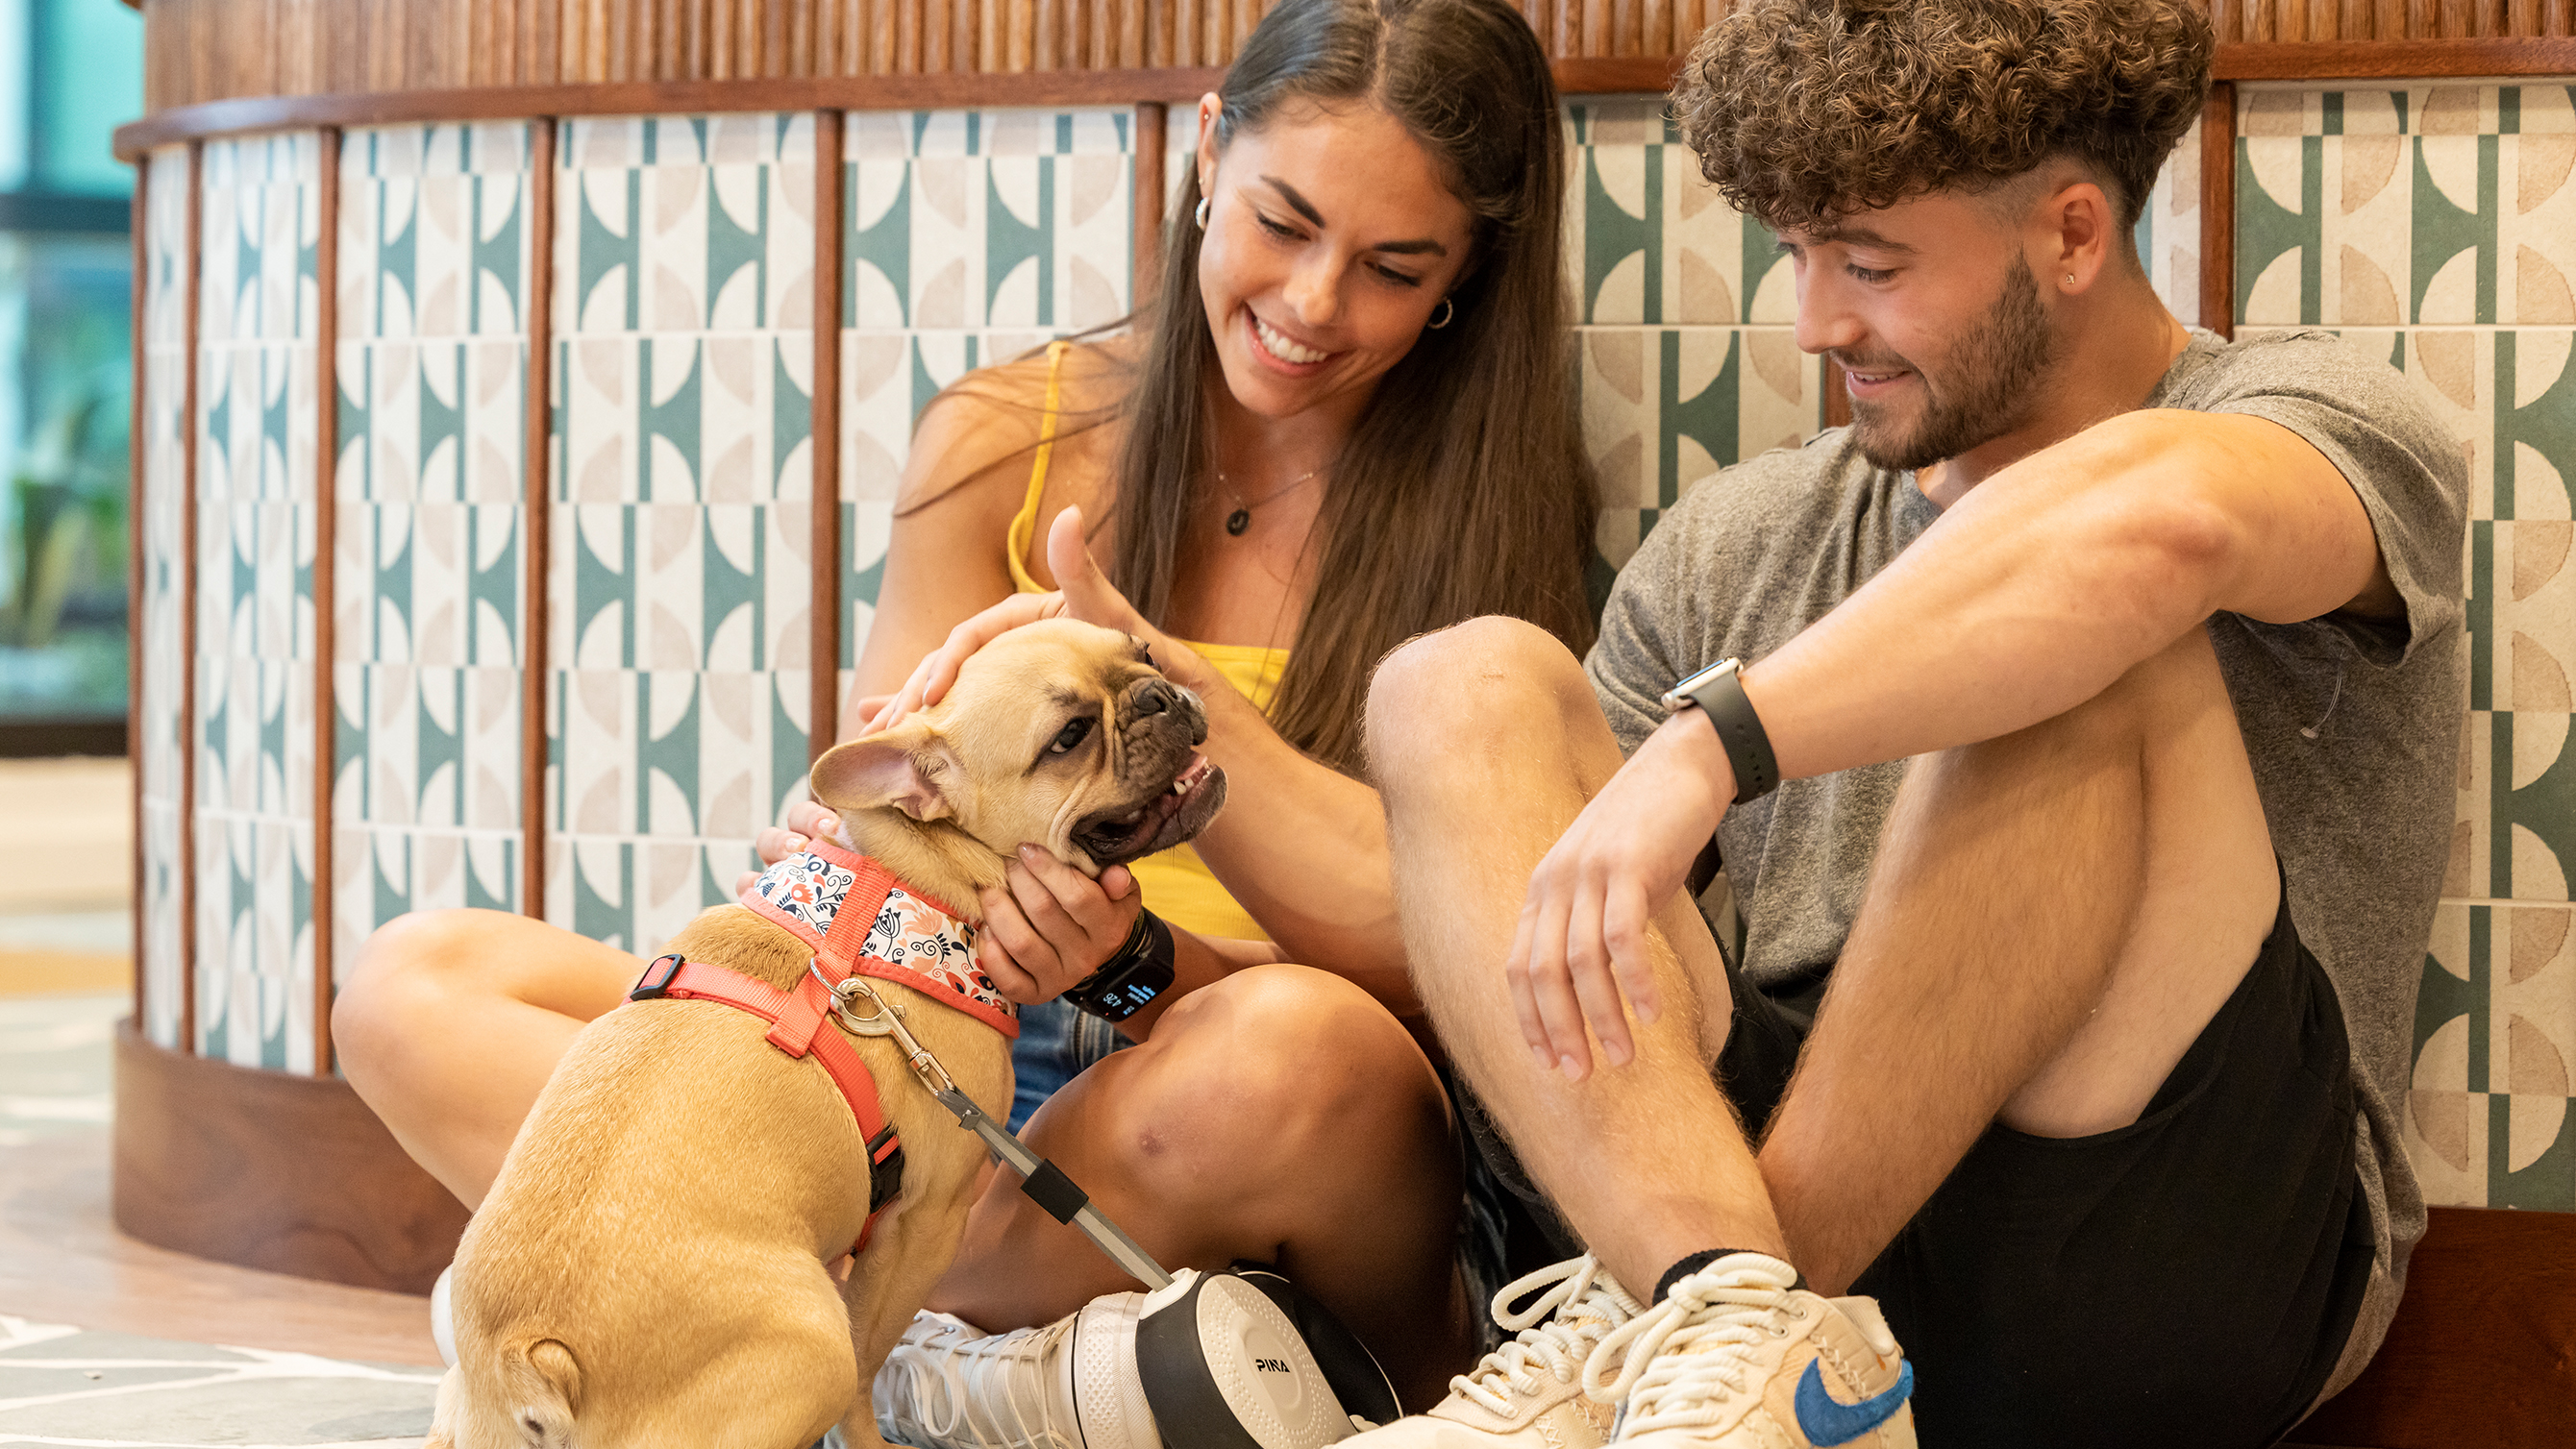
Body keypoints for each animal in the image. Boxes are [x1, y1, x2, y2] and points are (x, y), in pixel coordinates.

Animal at [427, 623, 1231, 1449]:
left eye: (1142, 650)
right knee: (839, 1365)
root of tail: (530, 1354)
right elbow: (871, 1354)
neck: (903, 876)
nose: (1160, 694)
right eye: (1069, 737)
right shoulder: (923, 1224)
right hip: (811, 1346)